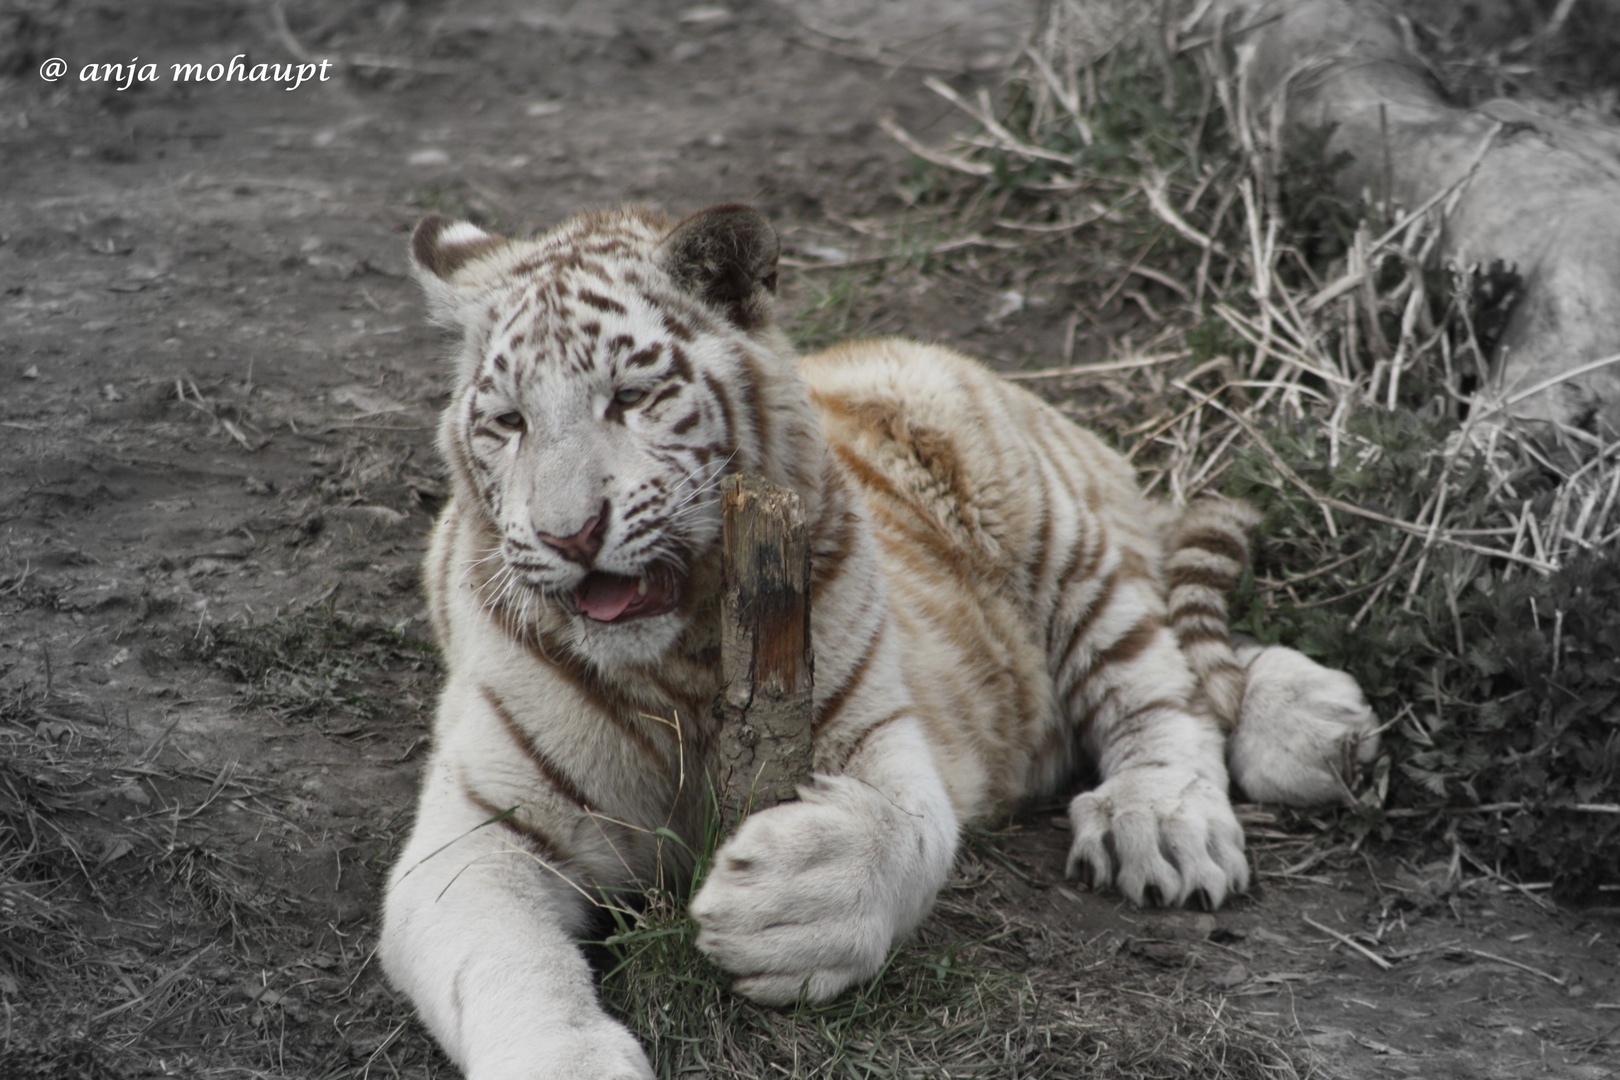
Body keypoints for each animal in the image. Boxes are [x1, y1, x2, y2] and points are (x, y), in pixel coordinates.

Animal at [382, 204, 1380, 1080]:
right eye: (508, 421)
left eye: (630, 397)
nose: (568, 535)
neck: (678, 664)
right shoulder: (482, 834)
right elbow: (514, 968)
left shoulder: (877, 731)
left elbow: (902, 834)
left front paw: (784, 905)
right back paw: (1321, 730)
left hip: (1064, 537)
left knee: (1166, 687)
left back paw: (1178, 813)